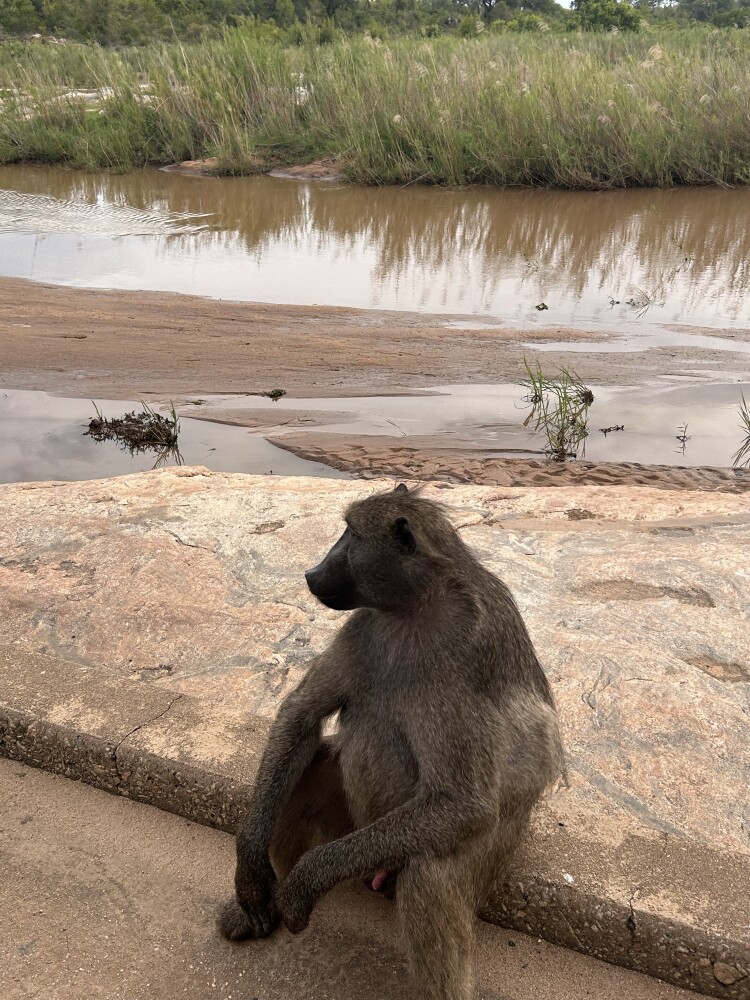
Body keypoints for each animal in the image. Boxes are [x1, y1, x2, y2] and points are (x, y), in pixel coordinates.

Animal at [219, 483, 563, 1000]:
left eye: (351, 536)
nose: (311, 574)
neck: (415, 603)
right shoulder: (363, 626)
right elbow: (301, 715)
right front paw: (252, 870)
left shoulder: (464, 652)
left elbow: (465, 802)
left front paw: (302, 885)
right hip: (354, 825)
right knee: (302, 781)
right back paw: (258, 910)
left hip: (482, 851)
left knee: (429, 875)